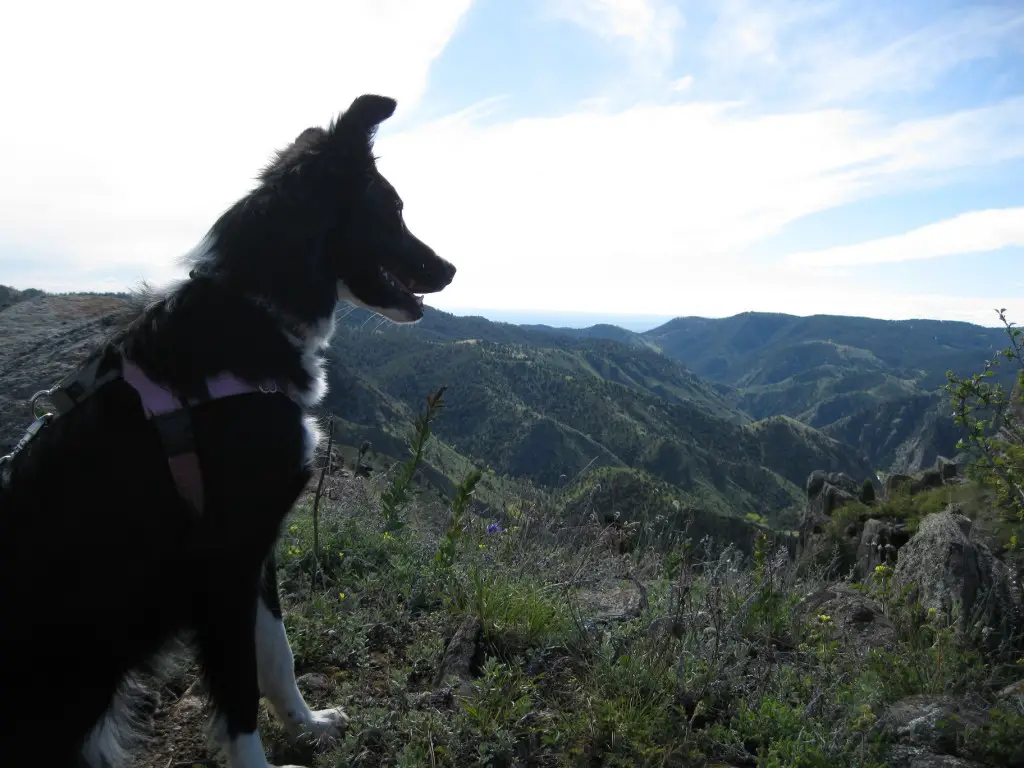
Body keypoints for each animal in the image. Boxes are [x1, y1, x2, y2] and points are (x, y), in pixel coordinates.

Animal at [0, 93, 456, 765]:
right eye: (393, 210)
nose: (450, 269)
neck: (252, 310)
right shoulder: (225, 562)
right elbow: (239, 691)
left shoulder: (259, 551)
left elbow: (278, 657)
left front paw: (308, 724)